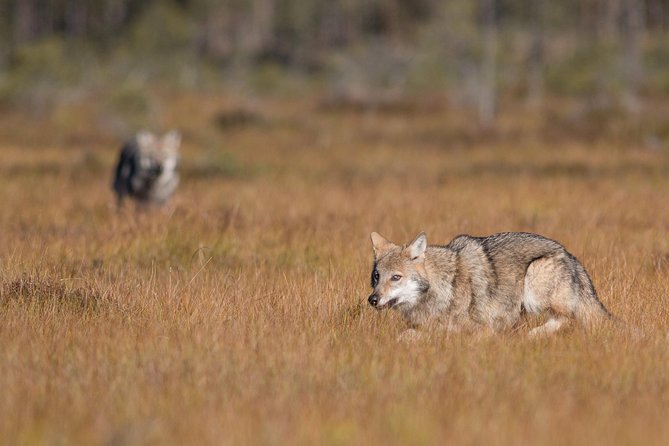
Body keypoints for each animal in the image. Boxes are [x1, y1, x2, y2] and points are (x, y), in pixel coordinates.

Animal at [367, 231, 609, 338]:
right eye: (377, 277)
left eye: (396, 277)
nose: (372, 299)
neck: (444, 286)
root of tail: (569, 255)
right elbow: (405, 335)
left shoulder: (483, 329)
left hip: (533, 281)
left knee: (567, 319)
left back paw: (530, 337)